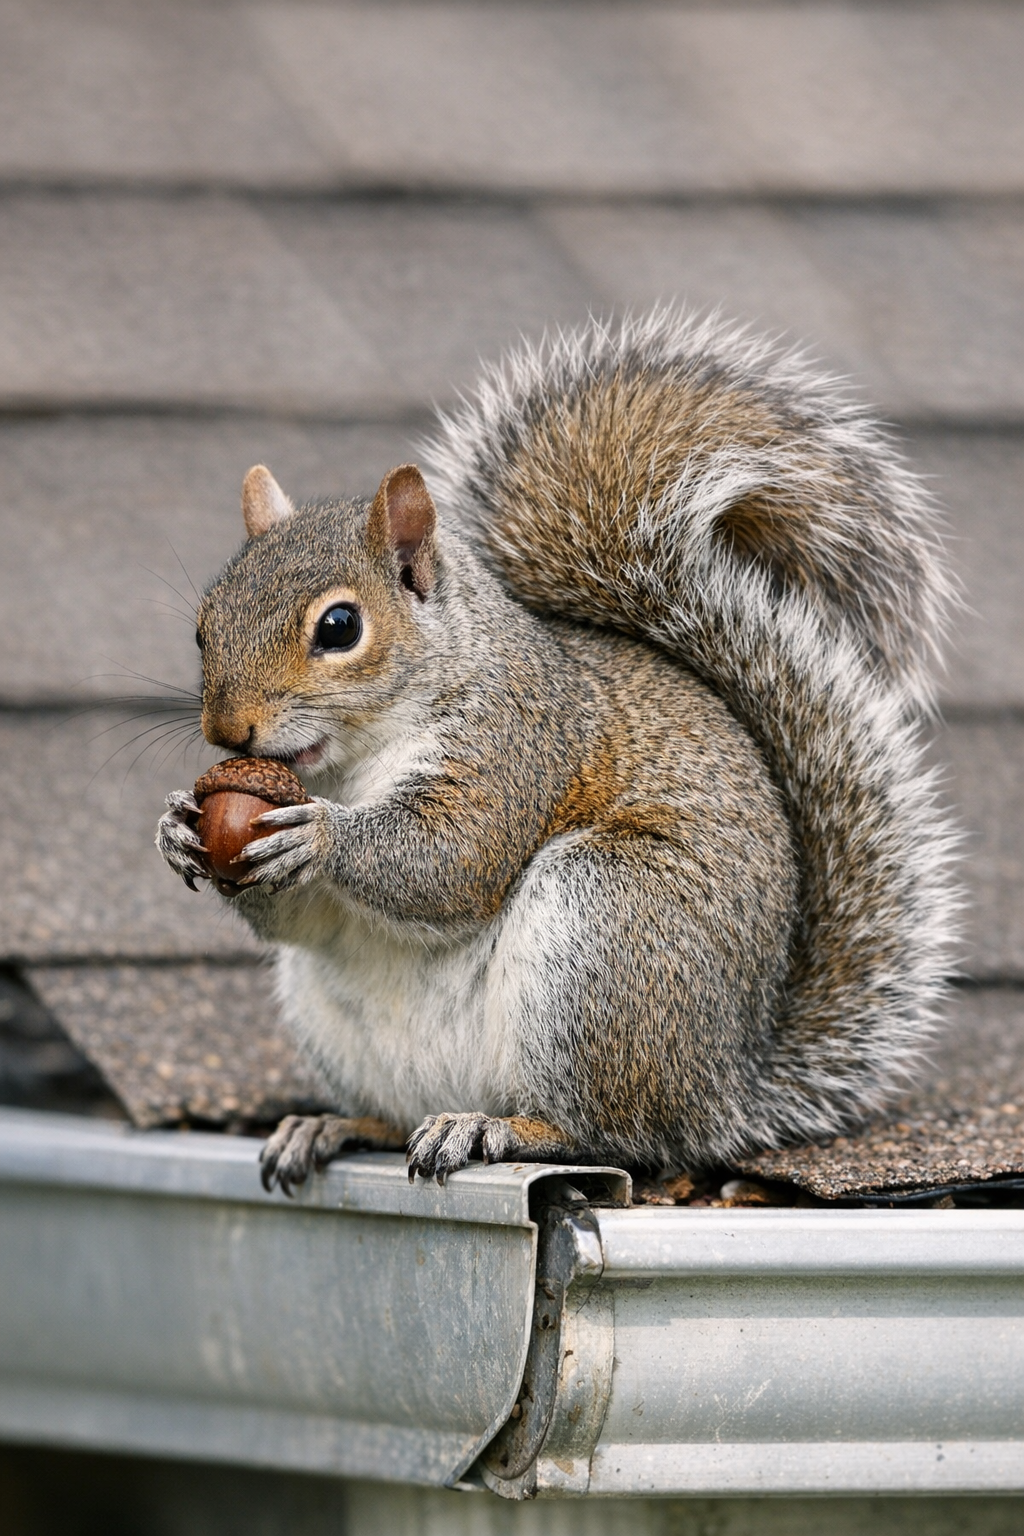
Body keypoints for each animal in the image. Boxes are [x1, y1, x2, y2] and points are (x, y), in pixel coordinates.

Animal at [157, 307, 958, 1193]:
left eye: (339, 627)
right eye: (204, 625)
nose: (229, 732)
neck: (352, 760)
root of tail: (727, 1089)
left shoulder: (517, 744)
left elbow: (452, 858)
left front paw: (320, 833)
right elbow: (297, 917)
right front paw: (178, 826)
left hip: (608, 928)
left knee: (614, 1135)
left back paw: (497, 1128)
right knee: (398, 1113)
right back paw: (332, 1125)